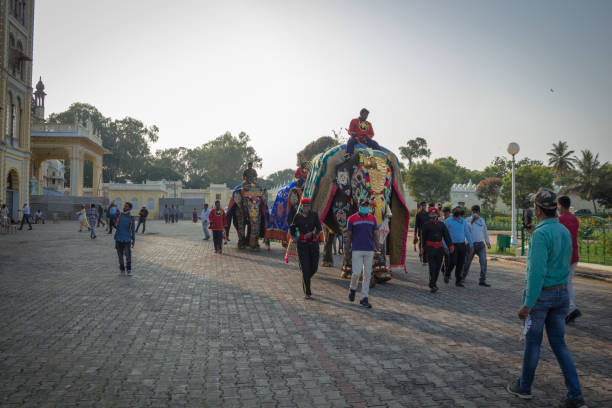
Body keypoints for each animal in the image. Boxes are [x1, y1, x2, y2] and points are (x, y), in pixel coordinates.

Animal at [302, 145, 412, 282]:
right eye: (359, 178)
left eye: (389, 183)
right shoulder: (341, 193)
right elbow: (345, 223)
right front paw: (349, 274)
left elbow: (382, 228)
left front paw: (383, 276)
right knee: (327, 231)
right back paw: (327, 264)